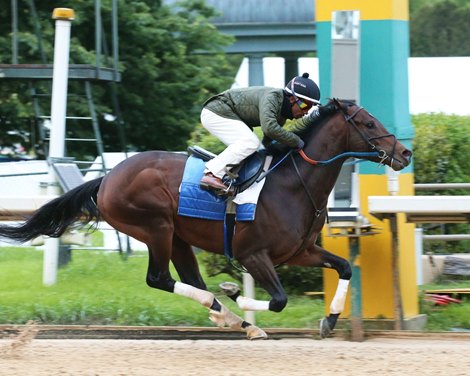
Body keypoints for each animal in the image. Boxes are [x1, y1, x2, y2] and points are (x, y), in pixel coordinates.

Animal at [0, 98, 412, 340]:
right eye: (369, 124)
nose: (405, 153)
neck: (293, 183)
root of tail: (107, 178)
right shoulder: (253, 254)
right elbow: (279, 300)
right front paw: (239, 295)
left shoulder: (299, 251)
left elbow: (344, 267)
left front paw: (329, 321)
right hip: (156, 228)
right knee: (160, 279)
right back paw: (233, 312)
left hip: (178, 238)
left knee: (192, 280)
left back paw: (233, 319)